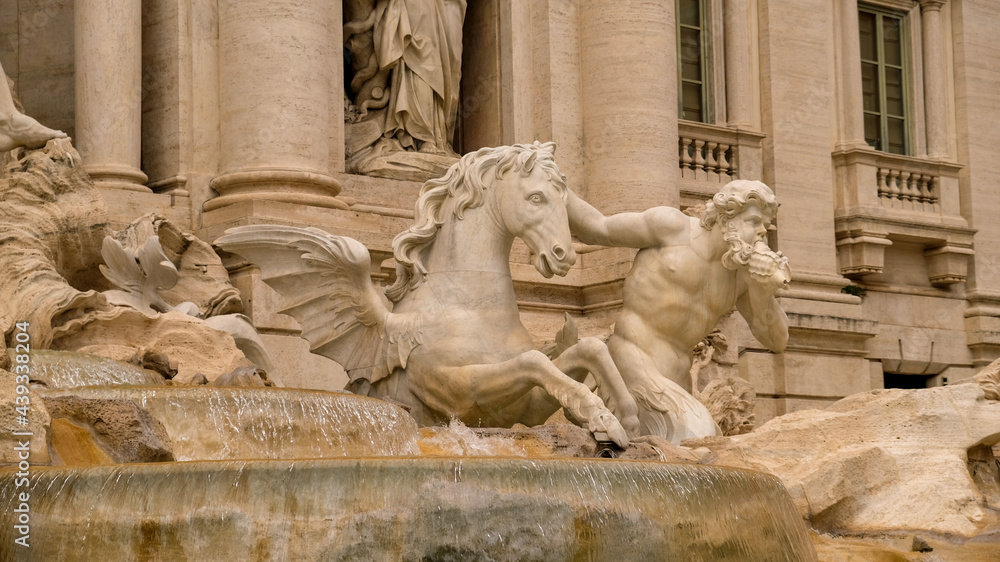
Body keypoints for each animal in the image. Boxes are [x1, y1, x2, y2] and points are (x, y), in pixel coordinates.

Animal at [218, 142, 640, 444]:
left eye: (567, 201)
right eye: (536, 198)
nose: (563, 255)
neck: (468, 306)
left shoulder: (527, 409)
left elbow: (588, 348)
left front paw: (627, 414)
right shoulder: (462, 395)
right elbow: (535, 359)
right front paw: (601, 417)